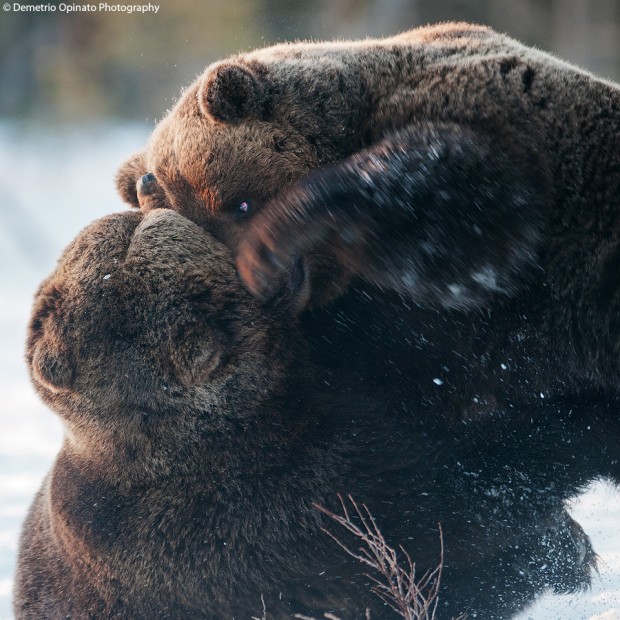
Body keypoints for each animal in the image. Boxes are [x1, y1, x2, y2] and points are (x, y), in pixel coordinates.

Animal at [116, 23, 620, 426]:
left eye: (240, 204)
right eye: (199, 232)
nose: (267, 288)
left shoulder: (491, 123)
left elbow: (460, 213)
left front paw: (274, 236)